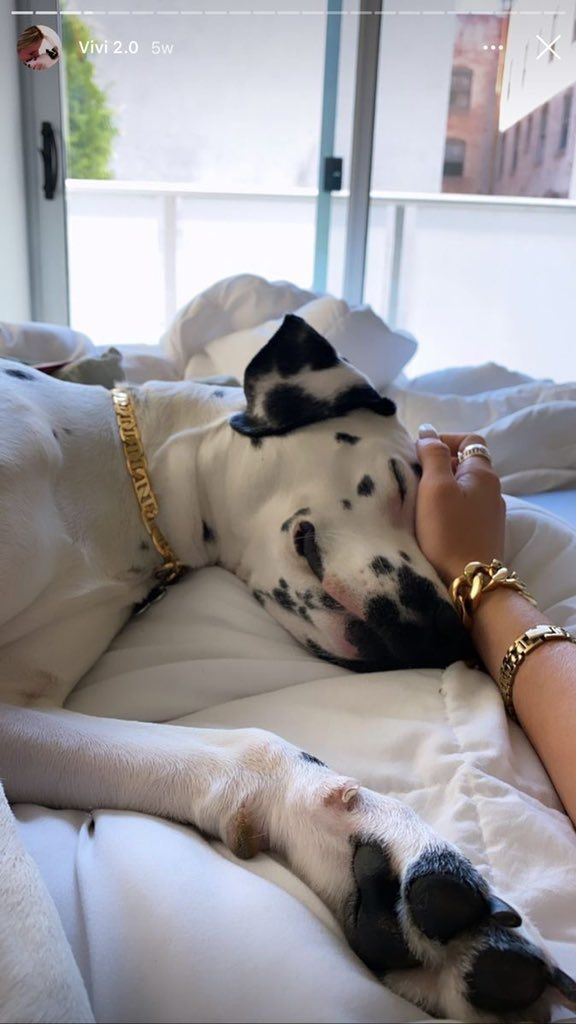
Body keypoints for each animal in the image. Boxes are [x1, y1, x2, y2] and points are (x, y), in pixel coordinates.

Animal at [0, 315, 569, 1019]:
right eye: (403, 482)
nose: (446, 637)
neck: (124, 485)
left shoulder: (20, 710)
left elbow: (246, 751)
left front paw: (374, 853)